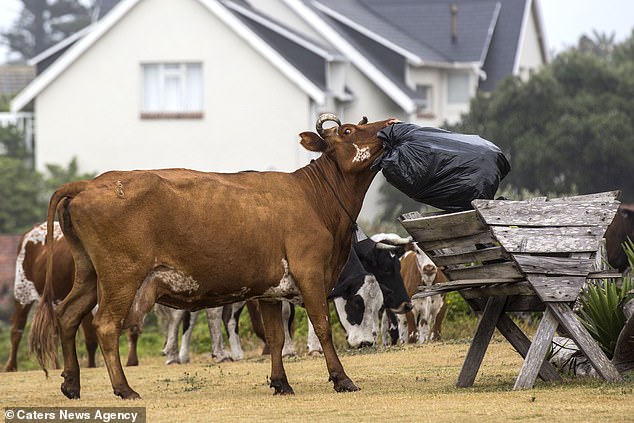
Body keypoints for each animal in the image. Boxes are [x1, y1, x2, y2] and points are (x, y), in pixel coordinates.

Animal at [4, 224, 138, 372]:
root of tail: (30, 231)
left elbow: (132, 330)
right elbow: (91, 339)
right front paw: (91, 365)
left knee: (53, 332)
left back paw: (56, 366)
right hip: (21, 293)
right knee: (17, 329)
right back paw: (11, 367)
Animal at [30, 114, 396, 400]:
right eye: (348, 130)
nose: (389, 124)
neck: (315, 198)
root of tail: (90, 184)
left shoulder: (270, 290)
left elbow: (276, 337)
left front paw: (280, 383)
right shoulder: (310, 273)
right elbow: (322, 327)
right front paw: (341, 379)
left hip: (90, 274)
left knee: (67, 315)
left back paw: (72, 384)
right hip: (121, 276)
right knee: (105, 325)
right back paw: (124, 388)